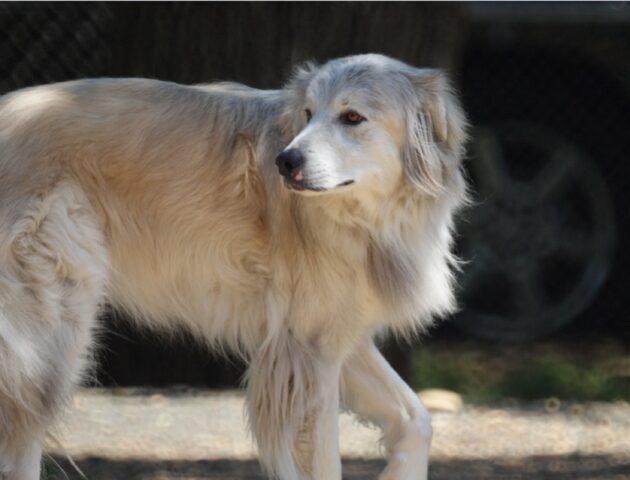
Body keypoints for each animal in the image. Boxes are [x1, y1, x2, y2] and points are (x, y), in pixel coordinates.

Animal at [0, 54, 470, 480]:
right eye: (307, 114)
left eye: (352, 117)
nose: (285, 162)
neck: (367, 218)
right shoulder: (307, 355)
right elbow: (326, 462)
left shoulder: (336, 339)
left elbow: (417, 420)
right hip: (52, 340)